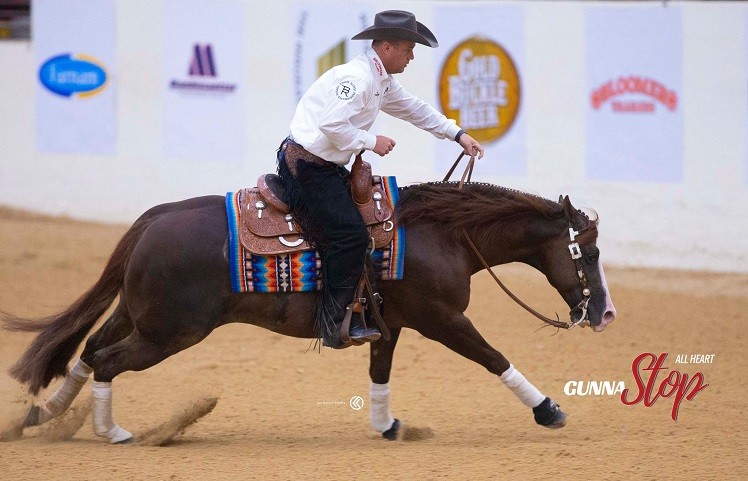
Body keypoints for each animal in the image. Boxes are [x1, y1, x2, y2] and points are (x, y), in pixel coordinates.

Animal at [4, 180, 616, 443]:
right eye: (589, 252)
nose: (606, 315)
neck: (442, 232)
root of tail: (155, 217)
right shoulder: (443, 320)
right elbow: (495, 358)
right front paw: (549, 410)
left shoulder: (389, 325)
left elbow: (380, 374)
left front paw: (387, 425)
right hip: (167, 332)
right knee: (106, 361)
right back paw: (114, 433)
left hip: (140, 317)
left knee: (89, 350)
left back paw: (44, 416)